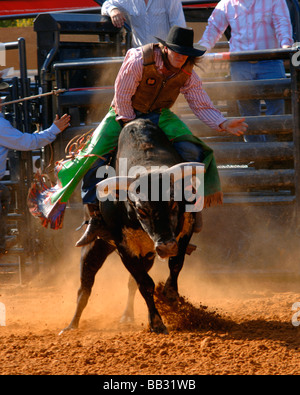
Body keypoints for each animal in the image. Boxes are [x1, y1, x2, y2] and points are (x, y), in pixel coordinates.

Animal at [59, 119, 203, 336]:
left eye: (173, 203)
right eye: (141, 210)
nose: (166, 246)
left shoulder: (184, 231)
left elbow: (175, 265)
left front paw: (170, 295)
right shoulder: (124, 249)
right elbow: (145, 284)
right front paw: (156, 323)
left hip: (148, 255)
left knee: (130, 283)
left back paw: (127, 316)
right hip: (95, 246)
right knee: (85, 285)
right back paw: (71, 325)